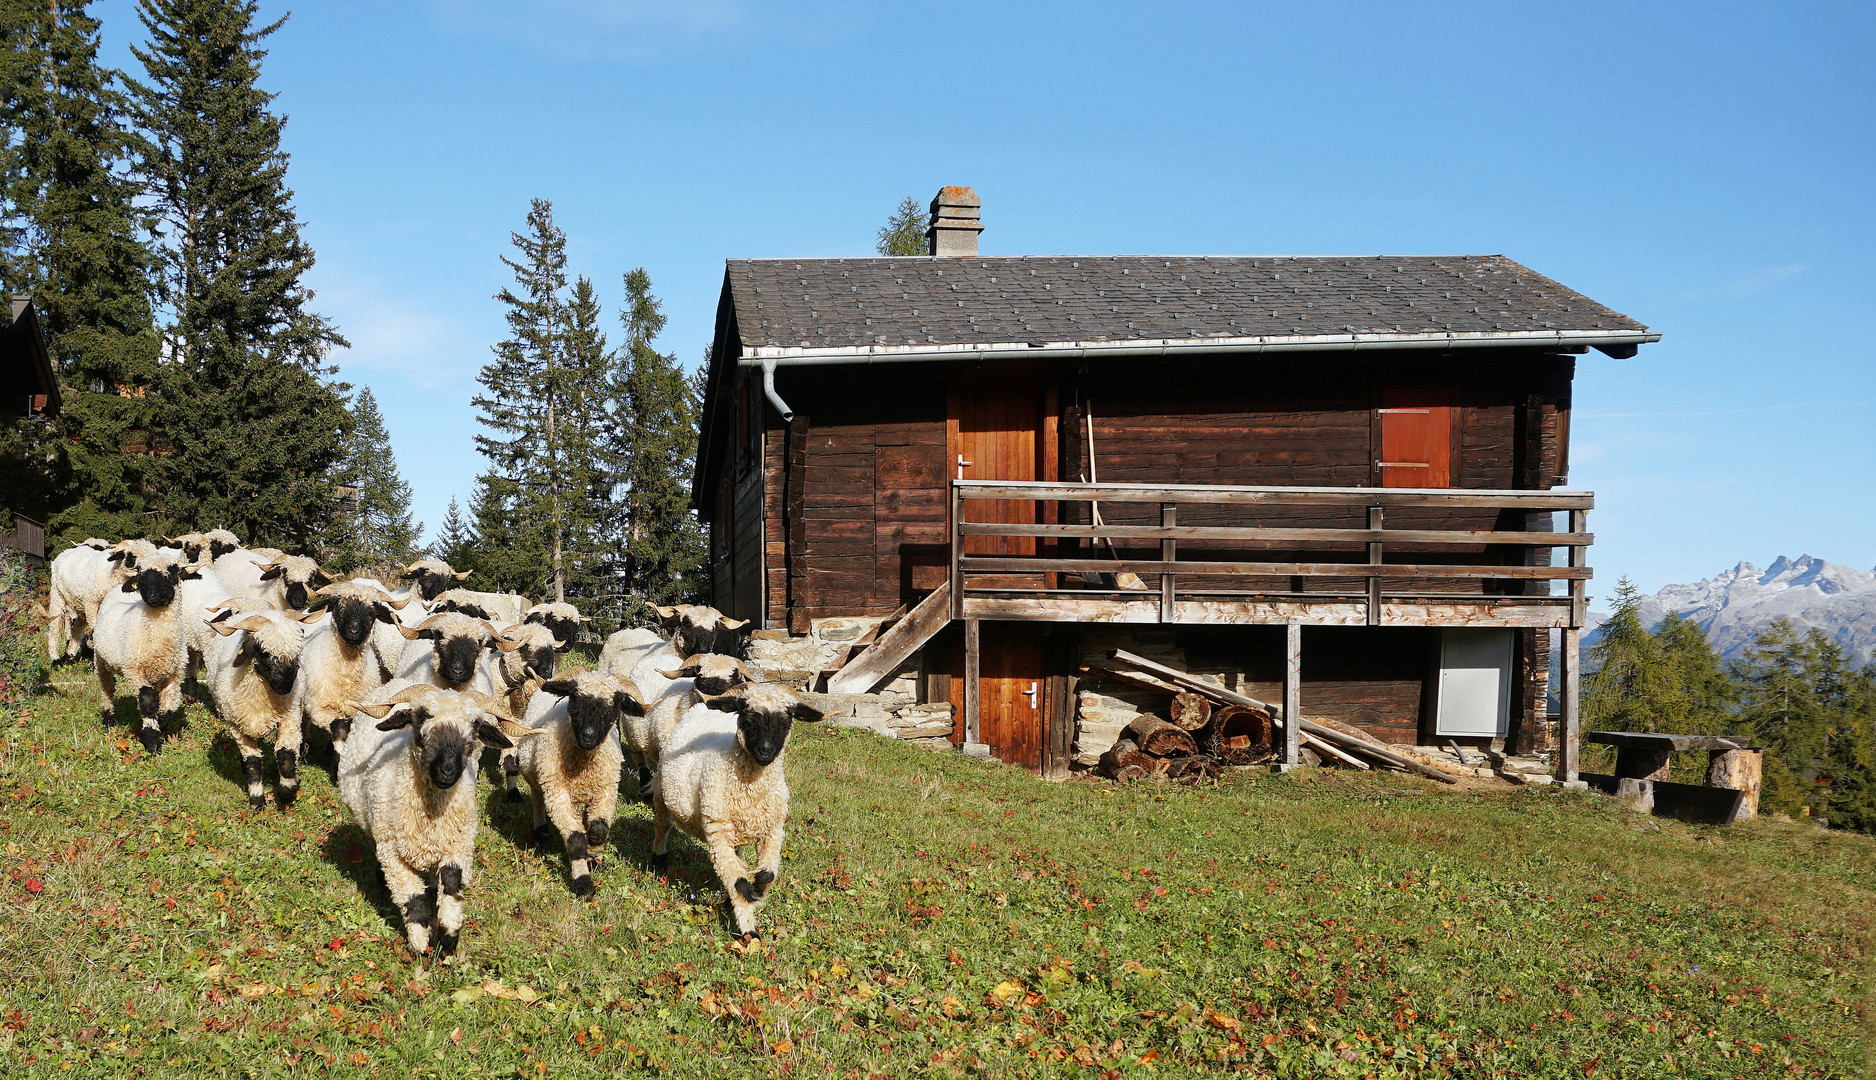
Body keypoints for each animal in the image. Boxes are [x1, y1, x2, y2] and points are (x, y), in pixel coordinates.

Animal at [91, 547, 211, 750]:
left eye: (172, 572)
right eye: (141, 576)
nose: (152, 597)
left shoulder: (174, 673)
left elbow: (169, 704)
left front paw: (161, 723)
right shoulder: (134, 670)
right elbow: (147, 702)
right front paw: (151, 741)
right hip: (100, 661)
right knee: (107, 689)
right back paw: (108, 721)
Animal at [341, 682, 544, 952]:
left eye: (475, 726)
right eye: (422, 717)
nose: (448, 771)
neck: (431, 817)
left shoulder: (459, 844)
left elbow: (451, 884)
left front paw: (448, 940)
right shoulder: (392, 853)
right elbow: (413, 898)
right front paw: (420, 946)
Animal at [517, 675, 649, 892]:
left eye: (613, 707)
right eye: (575, 700)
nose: (588, 736)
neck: (583, 767)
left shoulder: (606, 789)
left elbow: (598, 830)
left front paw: (594, 857)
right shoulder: (557, 794)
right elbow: (576, 840)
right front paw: (583, 884)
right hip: (534, 772)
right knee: (537, 799)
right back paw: (541, 831)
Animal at [656, 682, 825, 945]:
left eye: (786, 720)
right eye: (747, 718)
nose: (765, 751)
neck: (751, 790)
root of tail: (698, 708)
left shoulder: (773, 830)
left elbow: (766, 875)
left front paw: (757, 892)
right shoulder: (717, 832)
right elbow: (739, 884)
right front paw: (749, 933)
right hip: (662, 791)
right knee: (662, 825)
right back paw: (658, 860)